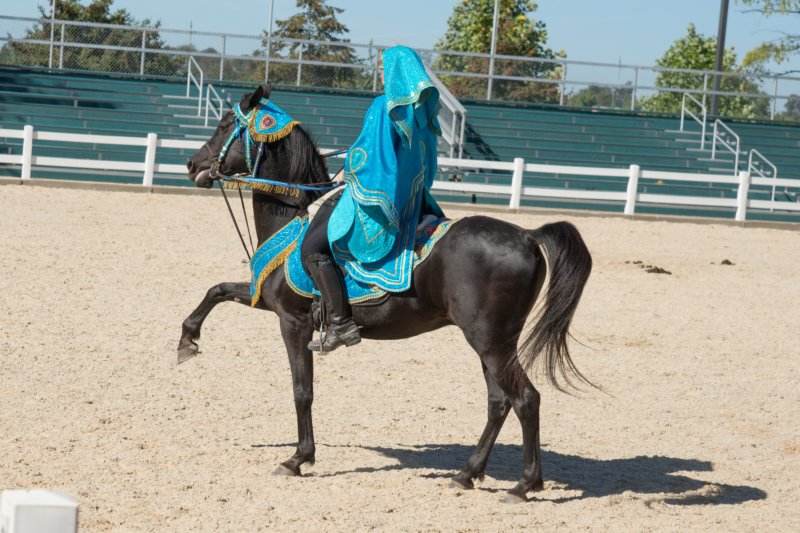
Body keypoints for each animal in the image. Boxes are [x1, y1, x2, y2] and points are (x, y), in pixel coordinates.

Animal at [181, 85, 592, 500]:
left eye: (224, 125)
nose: (192, 163)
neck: (292, 221)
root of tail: (527, 234)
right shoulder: (270, 302)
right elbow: (216, 290)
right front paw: (188, 339)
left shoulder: (293, 322)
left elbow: (302, 390)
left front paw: (298, 458)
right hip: (492, 344)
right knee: (499, 402)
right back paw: (467, 473)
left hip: (491, 342)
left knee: (525, 399)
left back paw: (524, 484)